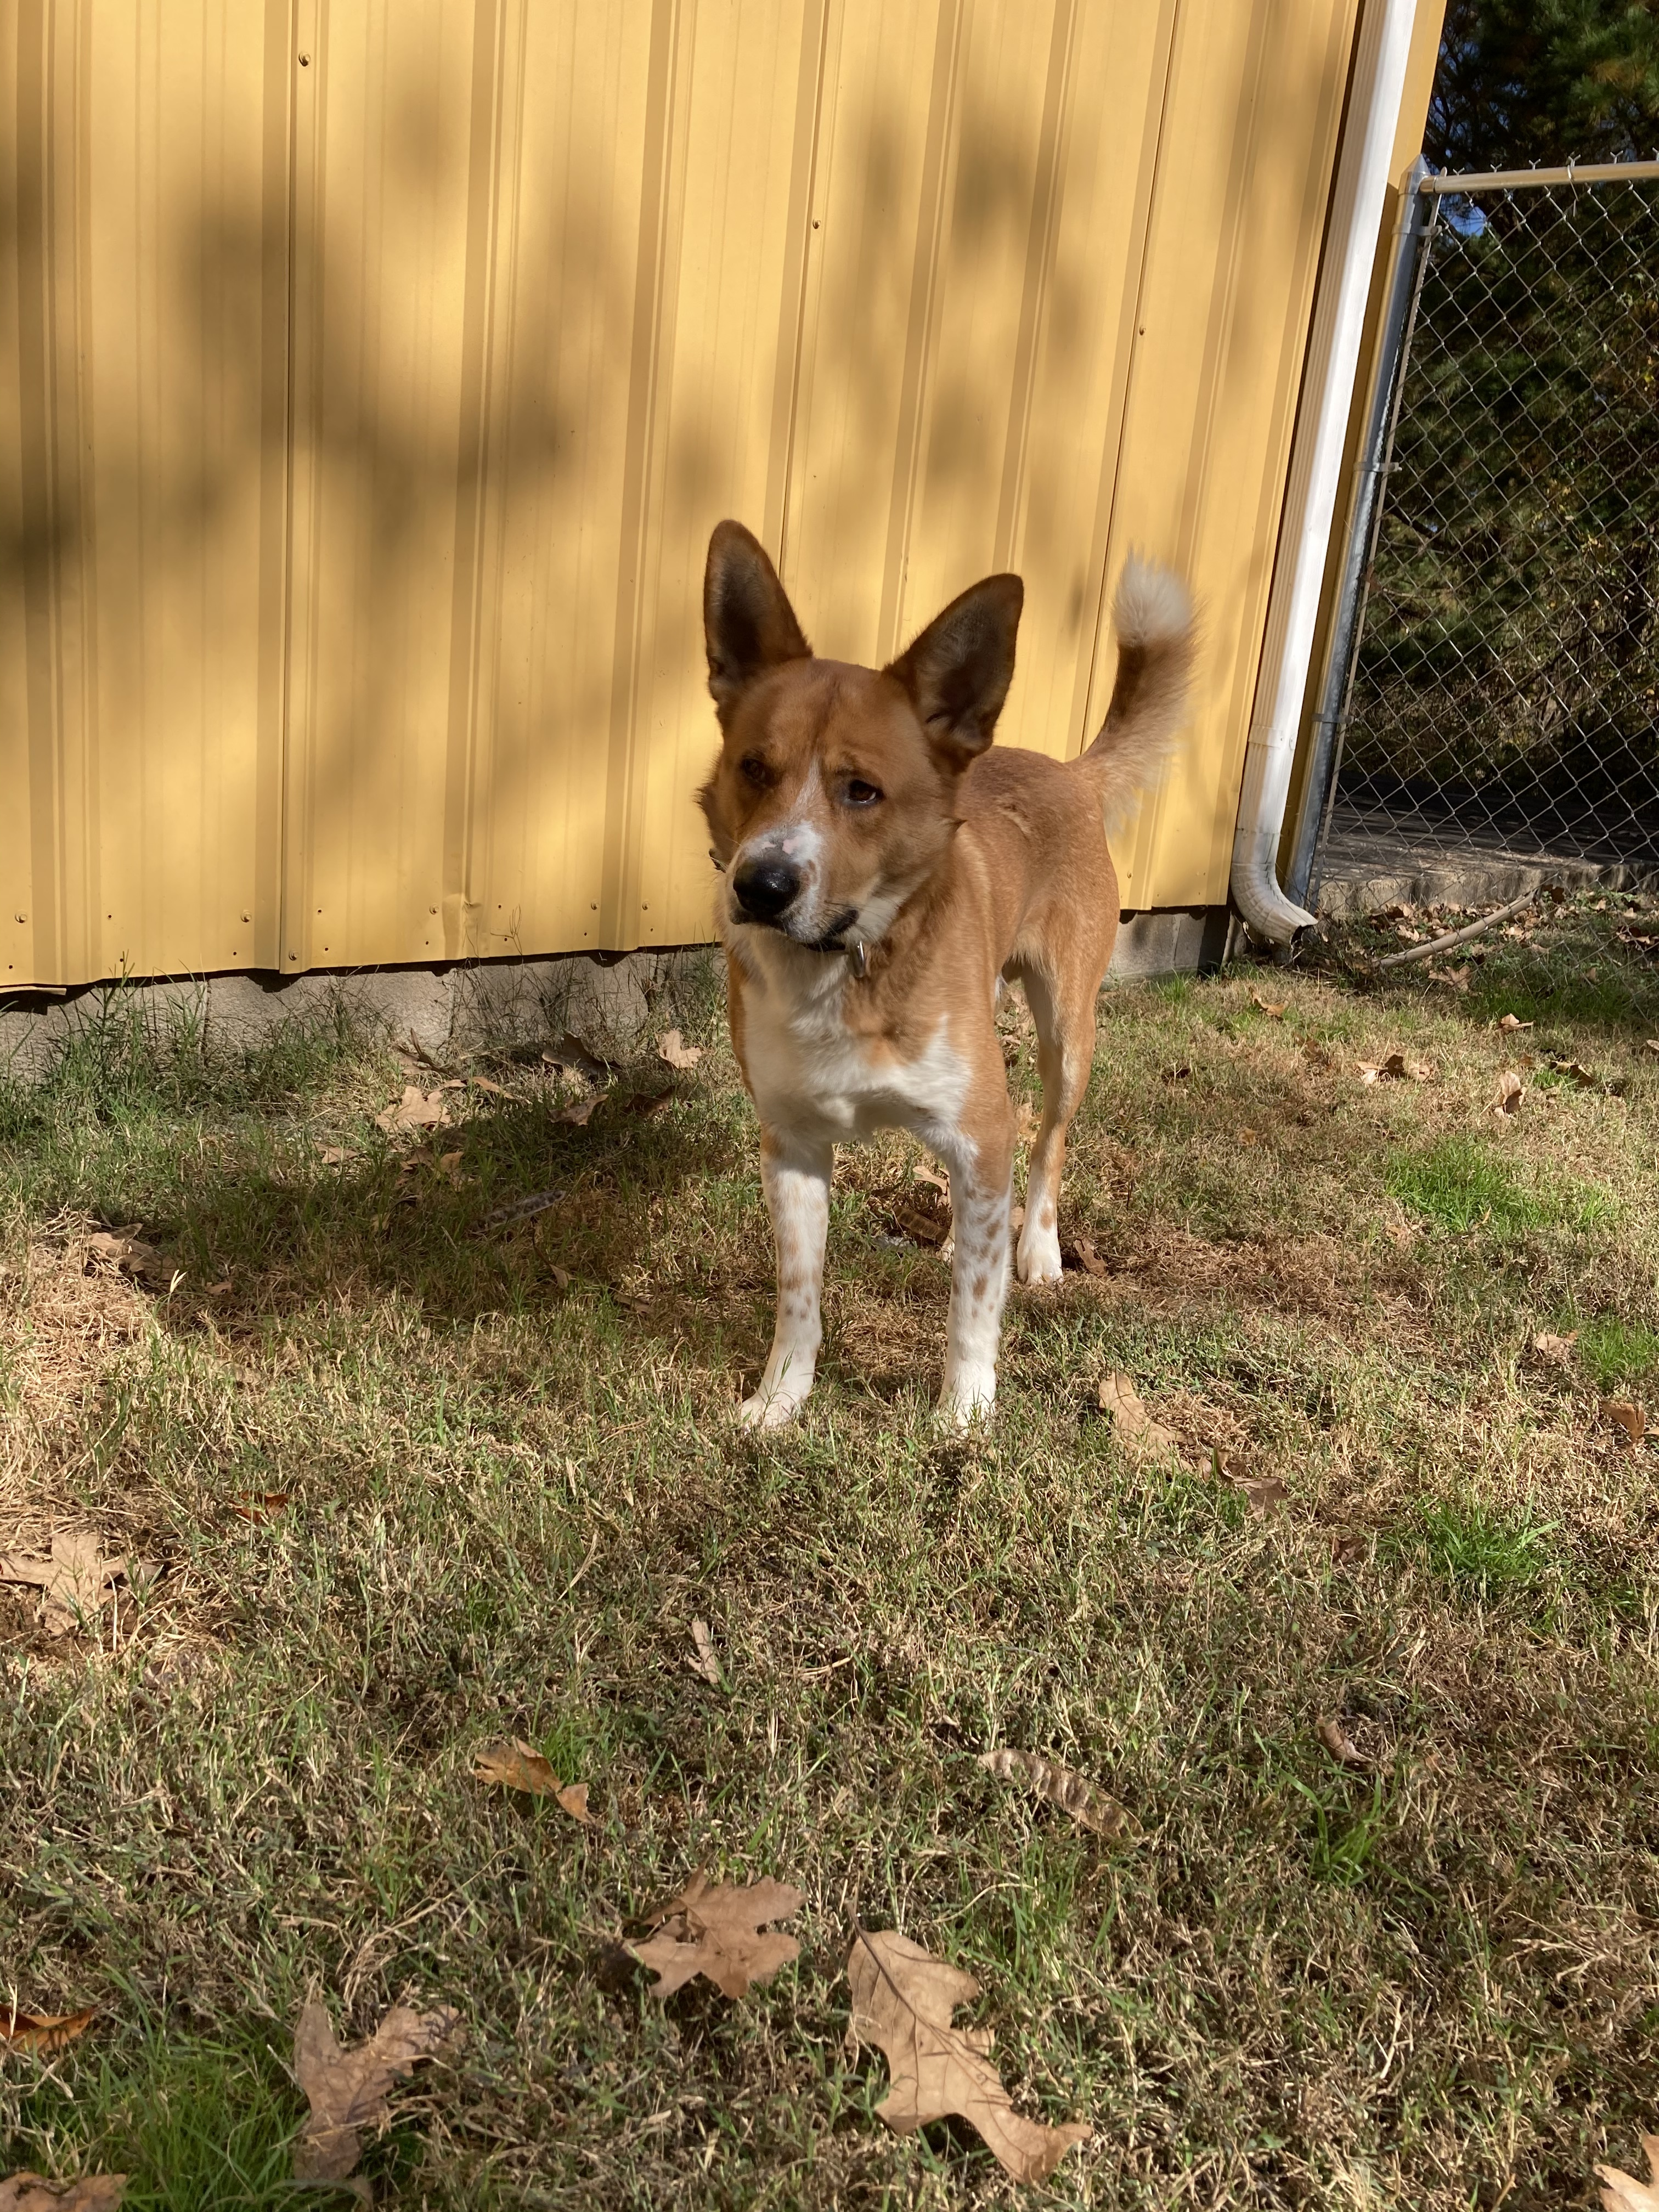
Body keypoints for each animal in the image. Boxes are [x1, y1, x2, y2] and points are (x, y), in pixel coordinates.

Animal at [699, 517, 1194, 1424]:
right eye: (754, 767)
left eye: (862, 791)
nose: (760, 886)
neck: (850, 961)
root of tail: (1068, 770)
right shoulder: (791, 1145)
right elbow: (799, 1294)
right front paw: (781, 1401)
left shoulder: (980, 1130)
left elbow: (974, 1301)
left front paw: (963, 1413)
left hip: (1066, 1031)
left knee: (1047, 1141)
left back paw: (1036, 1249)